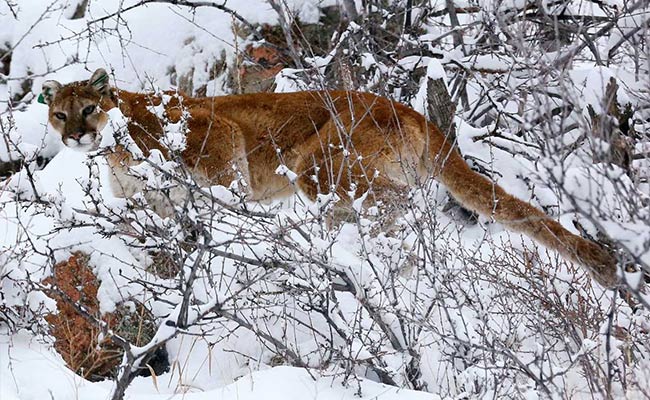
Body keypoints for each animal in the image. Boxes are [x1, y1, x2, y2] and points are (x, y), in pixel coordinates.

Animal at [40, 68, 618, 287]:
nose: (76, 136)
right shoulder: (146, 202)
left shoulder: (218, 134)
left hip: (317, 167)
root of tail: (408, 108)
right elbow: (143, 226)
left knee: (401, 200)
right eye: (60, 114)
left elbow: (225, 190)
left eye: (89, 108)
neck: (117, 149)